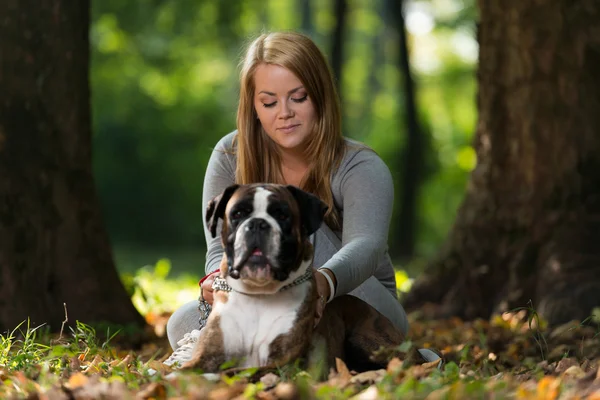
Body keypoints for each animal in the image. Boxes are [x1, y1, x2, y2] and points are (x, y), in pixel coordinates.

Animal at [183, 184, 406, 376]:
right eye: (237, 214)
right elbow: (182, 372)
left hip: (362, 340)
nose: (257, 224)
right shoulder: (207, 355)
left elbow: (238, 373)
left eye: (283, 215)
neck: (258, 295)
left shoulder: (283, 364)